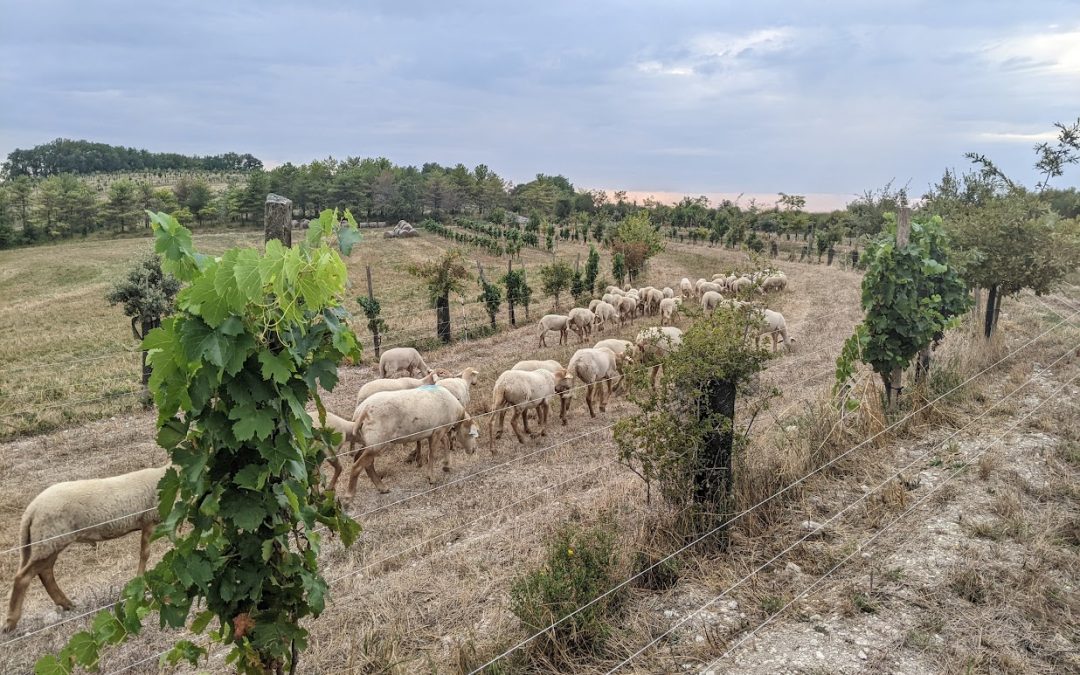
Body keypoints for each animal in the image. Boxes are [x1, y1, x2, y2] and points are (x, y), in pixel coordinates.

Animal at [3, 462, 167, 630]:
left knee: (45, 572)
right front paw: (140, 580)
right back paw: (11, 622)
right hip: (50, 539)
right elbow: (145, 553)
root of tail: (31, 511)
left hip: (47, 542)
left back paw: (66, 604)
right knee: (24, 577)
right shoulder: (149, 520)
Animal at [347, 384, 479, 494]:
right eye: (472, 434)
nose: (474, 450)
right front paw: (431, 478)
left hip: (368, 441)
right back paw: (350, 496)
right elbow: (432, 454)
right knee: (359, 465)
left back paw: (381, 488)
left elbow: (445, 443)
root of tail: (361, 412)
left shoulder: (436, 431)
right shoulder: (438, 430)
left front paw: (446, 465)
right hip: (377, 441)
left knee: (361, 459)